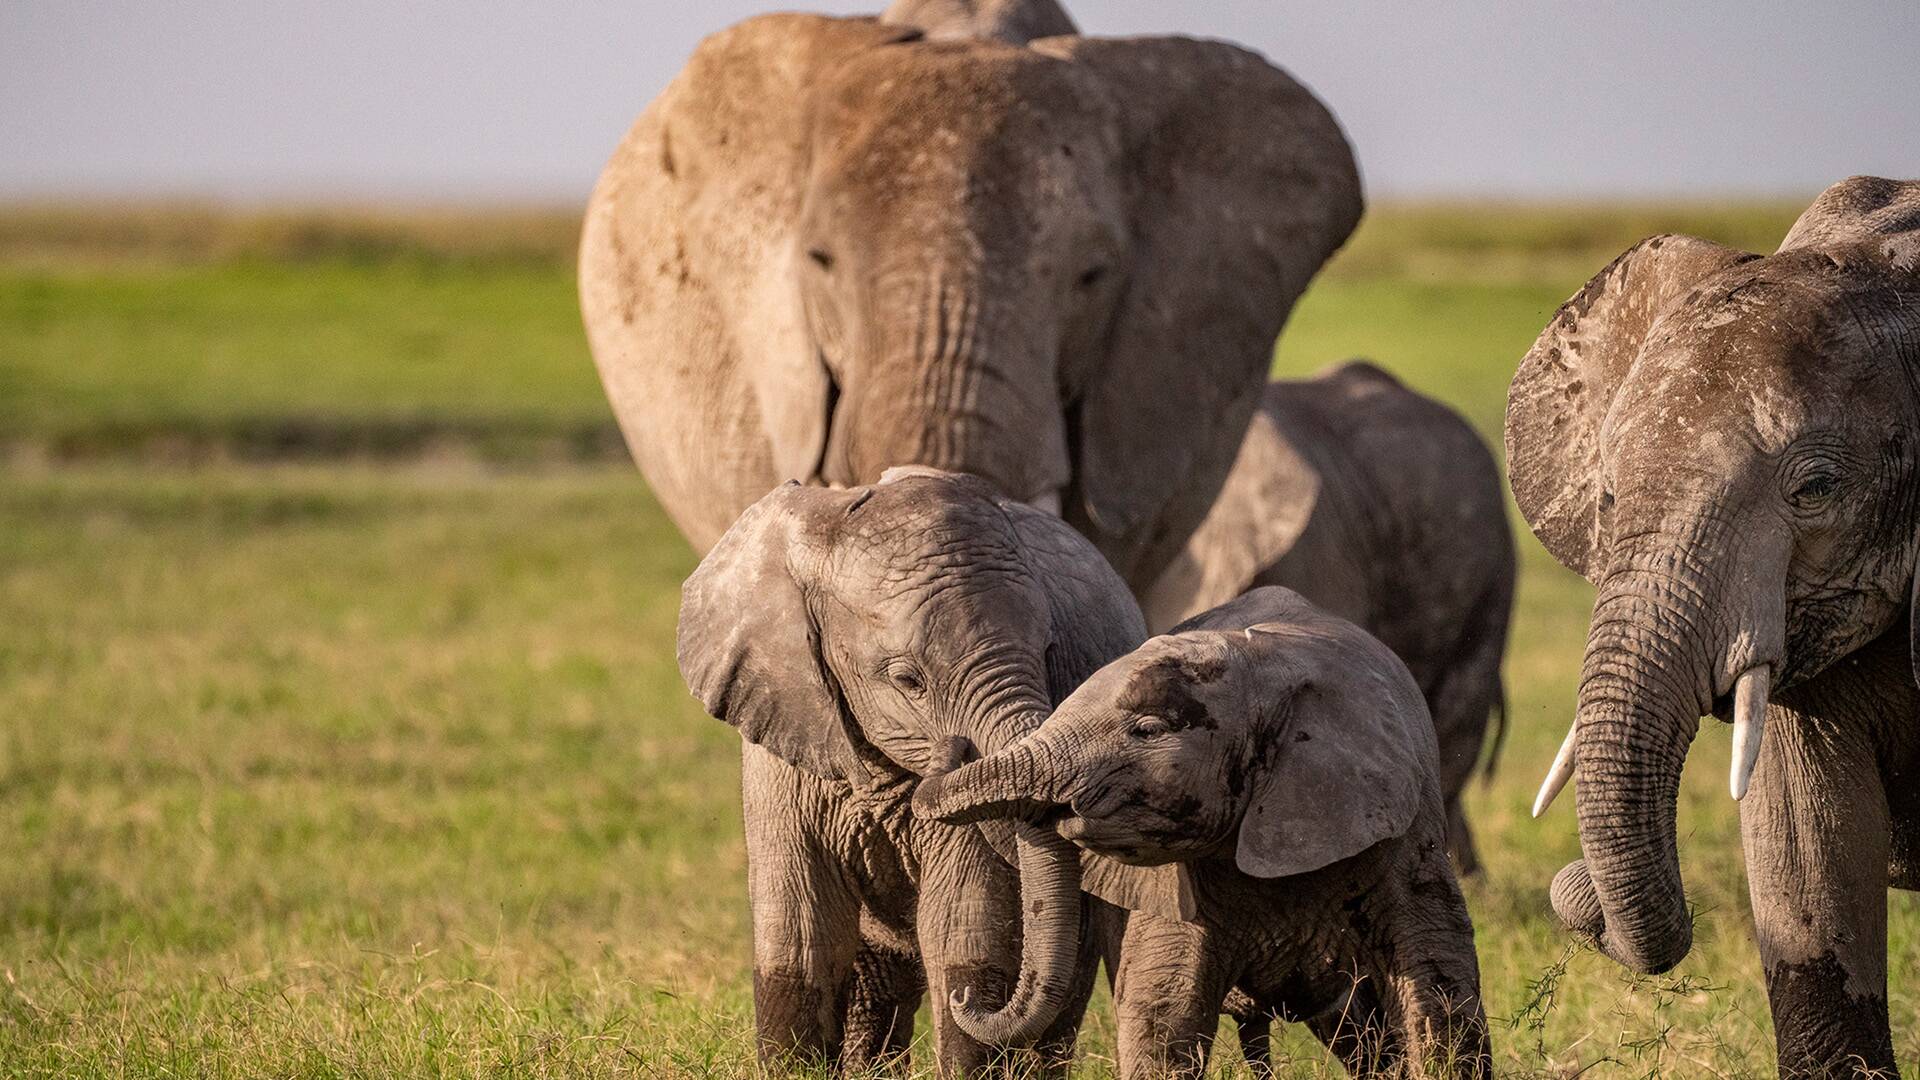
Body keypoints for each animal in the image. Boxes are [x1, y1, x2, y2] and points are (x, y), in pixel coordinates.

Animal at [921, 588, 1489, 1076]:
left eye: (1148, 730)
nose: (956, 744)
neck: (1263, 660)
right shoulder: (1176, 884)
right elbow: (1164, 1011)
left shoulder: (1399, 833)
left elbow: (1437, 988)